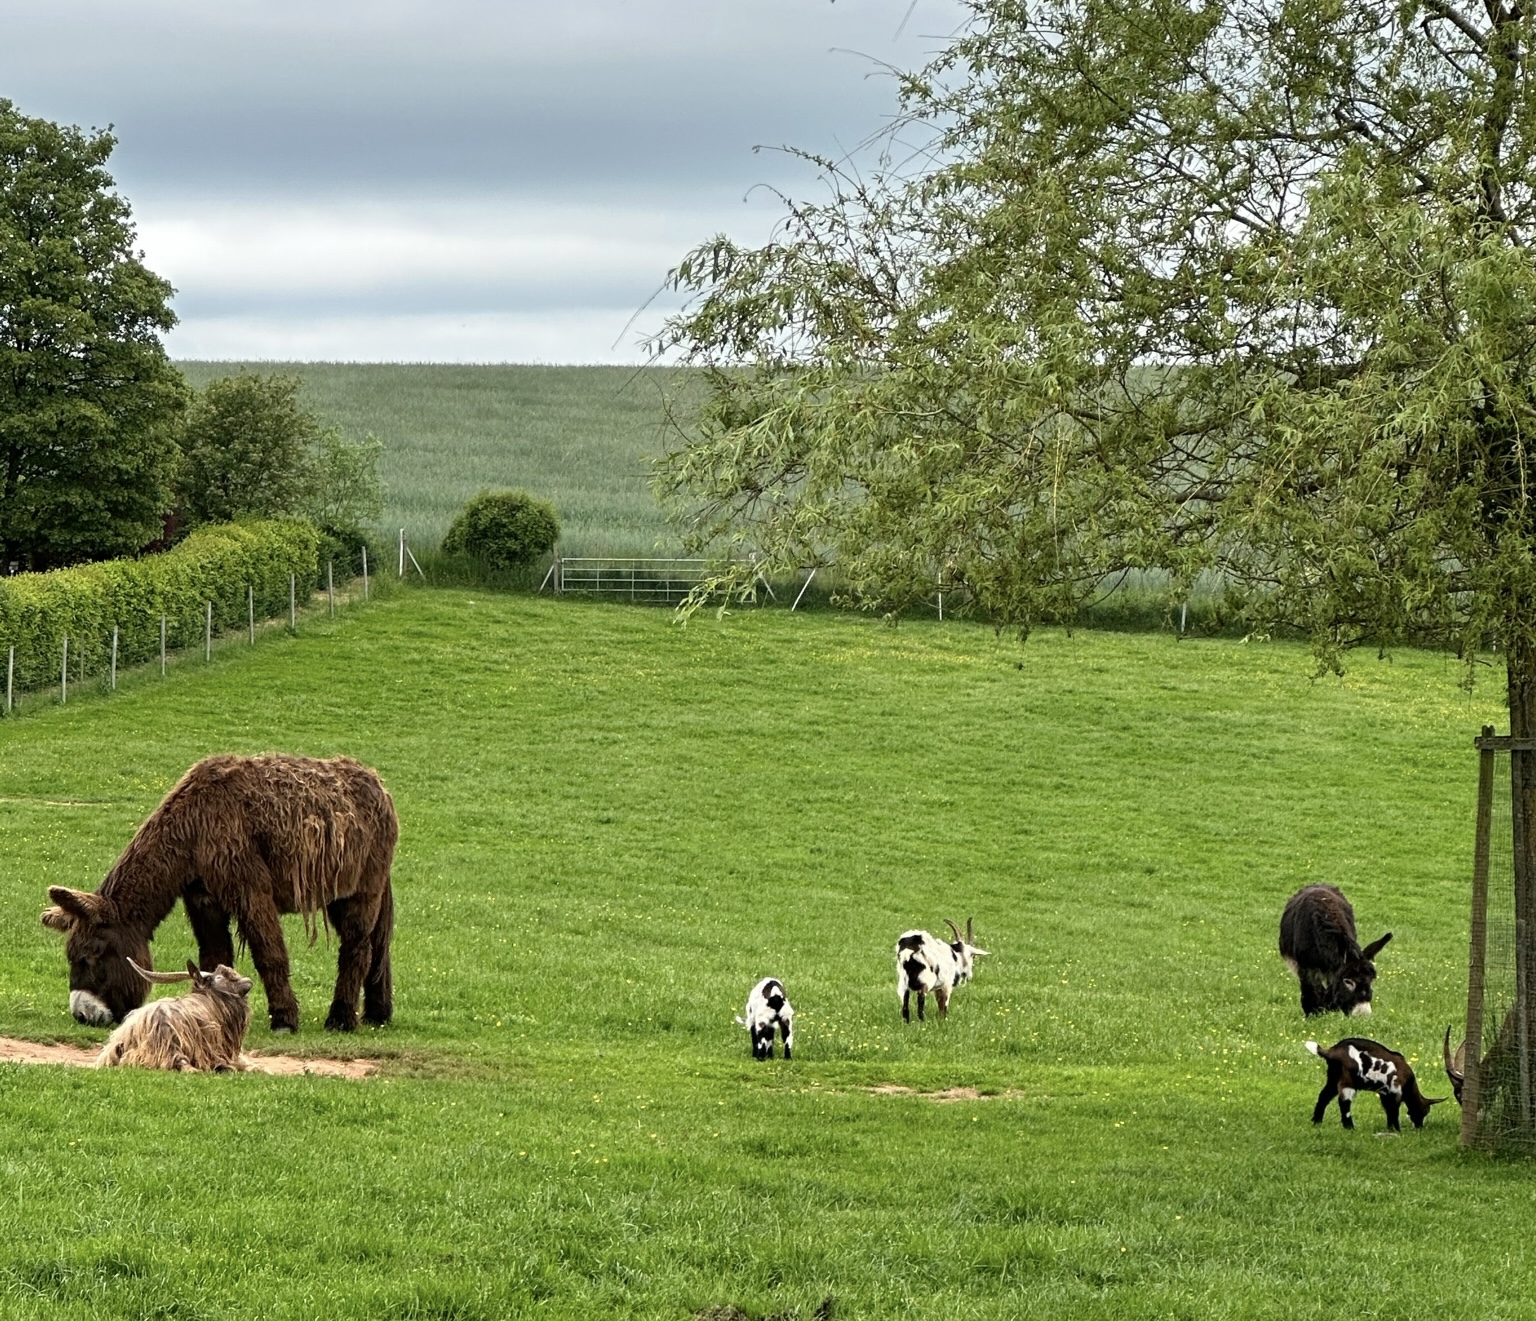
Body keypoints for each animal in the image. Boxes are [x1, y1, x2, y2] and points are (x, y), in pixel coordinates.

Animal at [1305, 1037, 1448, 1132]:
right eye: (1425, 1111)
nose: (1420, 1126)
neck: (1409, 1082)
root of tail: (1332, 1051)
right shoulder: (1395, 1090)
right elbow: (1394, 1111)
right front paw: (1397, 1130)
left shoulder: (1385, 1093)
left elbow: (1388, 1110)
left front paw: (1391, 1129)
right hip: (1347, 1080)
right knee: (1344, 1103)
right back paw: (1350, 1128)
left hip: (1333, 1078)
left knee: (1323, 1097)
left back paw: (1317, 1122)